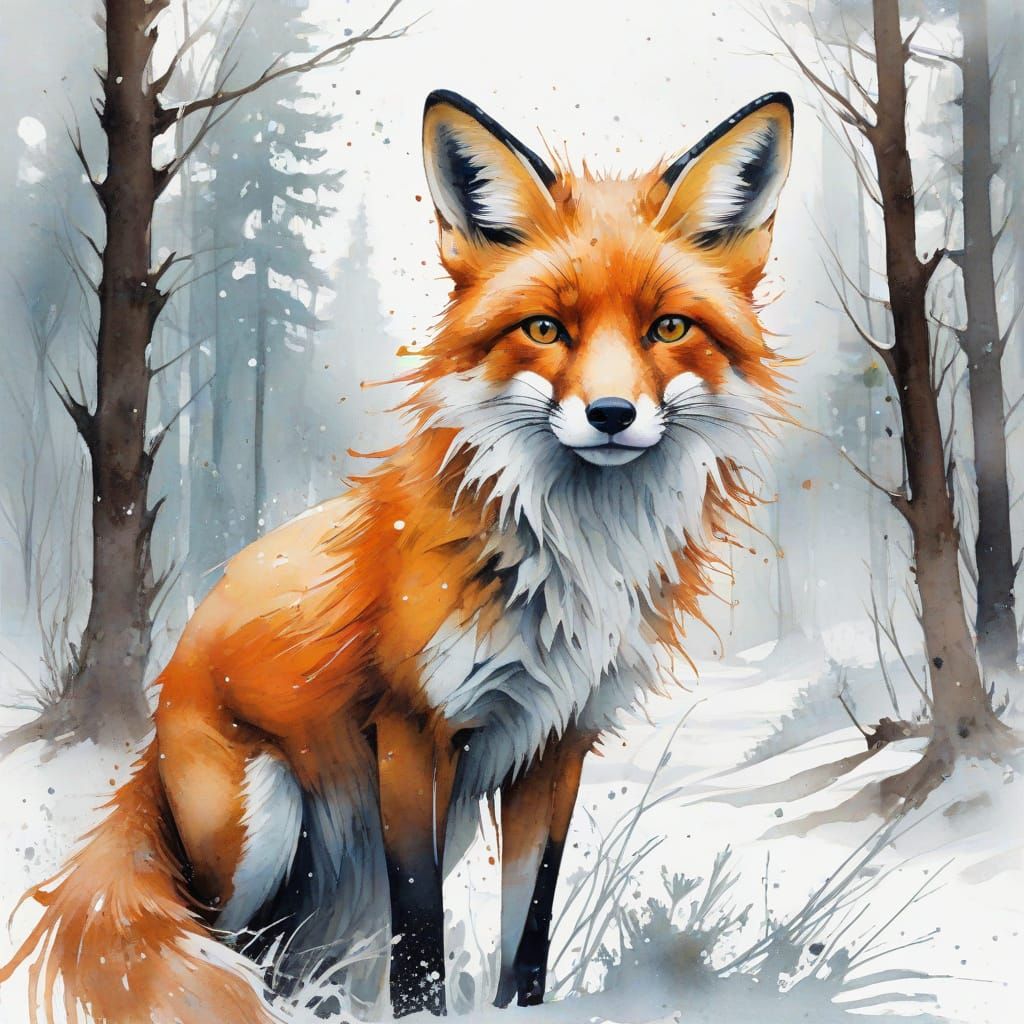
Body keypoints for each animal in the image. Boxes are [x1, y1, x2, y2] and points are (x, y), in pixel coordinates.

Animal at [1, 89, 793, 1022]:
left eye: (668, 327)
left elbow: (529, 931)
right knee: (221, 944)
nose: (610, 415)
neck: (570, 557)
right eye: (545, 329)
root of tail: (153, 737)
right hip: (262, 827)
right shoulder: (413, 730)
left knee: (283, 956)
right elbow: (421, 938)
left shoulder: (560, 738)